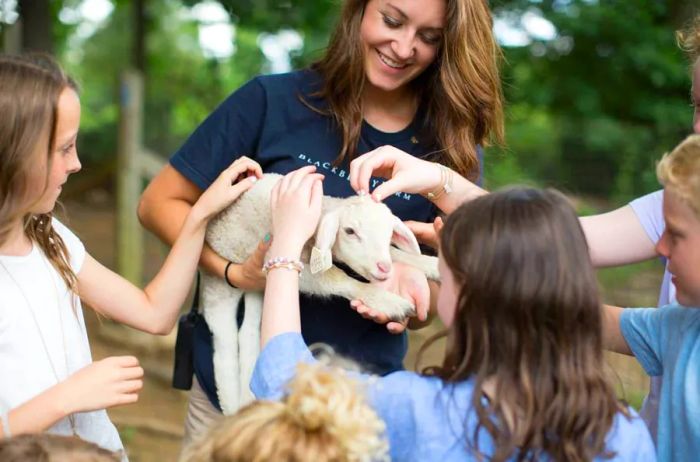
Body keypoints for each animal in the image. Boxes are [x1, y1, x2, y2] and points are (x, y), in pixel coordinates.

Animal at [201, 173, 438, 416]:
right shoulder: (291, 262)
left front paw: (432, 265)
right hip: (220, 283)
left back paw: (246, 397)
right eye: (350, 231)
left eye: (389, 233)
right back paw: (229, 401)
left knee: (248, 330)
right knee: (224, 337)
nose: (384, 268)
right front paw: (387, 301)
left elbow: (396, 253)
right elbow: (336, 278)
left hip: (257, 289)